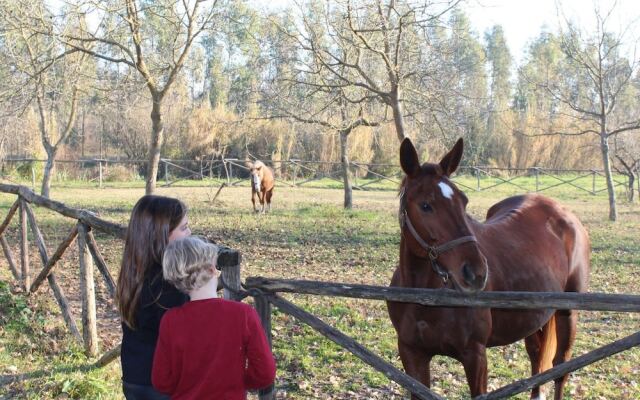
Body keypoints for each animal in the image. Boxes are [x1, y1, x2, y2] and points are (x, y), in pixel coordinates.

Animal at [384, 138, 592, 400]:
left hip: (567, 314)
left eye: (463, 201)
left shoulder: (475, 356)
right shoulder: (412, 353)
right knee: (537, 359)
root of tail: (563, 213)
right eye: (425, 205)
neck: (424, 298)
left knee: (559, 369)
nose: (476, 273)